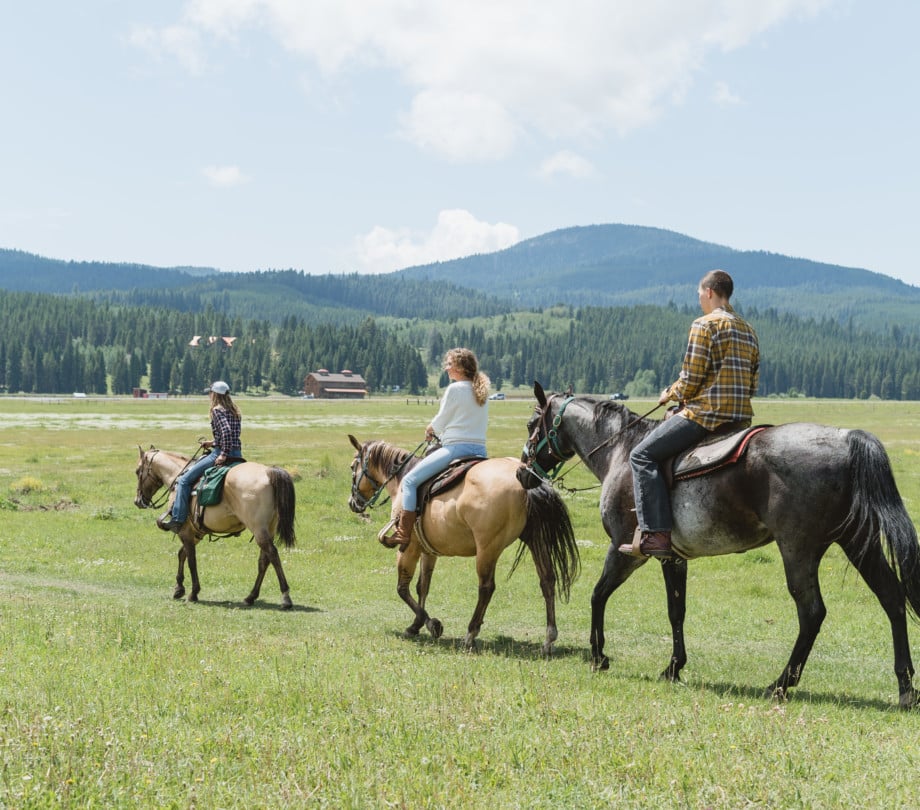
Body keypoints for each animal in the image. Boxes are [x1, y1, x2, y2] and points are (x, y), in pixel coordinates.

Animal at [135, 446, 298, 608]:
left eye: (137, 471)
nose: (138, 501)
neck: (178, 476)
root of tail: (269, 472)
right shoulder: (195, 532)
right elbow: (182, 554)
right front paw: (178, 589)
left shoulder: (185, 531)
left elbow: (191, 561)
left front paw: (193, 593)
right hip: (268, 529)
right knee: (264, 560)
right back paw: (250, 597)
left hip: (258, 529)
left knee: (273, 554)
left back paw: (285, 597)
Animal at [348, 432, 580, 652]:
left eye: (352, 467)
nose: (353, 503)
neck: (403, 481)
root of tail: (525, 481)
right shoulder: (428, 551)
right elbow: (423, 586)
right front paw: (415, 625)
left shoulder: (409, 548)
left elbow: (402, 588)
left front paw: (432, 624)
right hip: (536, 539)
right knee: (547, 580)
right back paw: (549, 639)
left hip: (487, 549)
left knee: (486, 587)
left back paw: (470, 634)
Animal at [520, 382, 920, 704]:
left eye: (530, 424)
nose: (523, 472)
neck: (621, 451)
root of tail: (844, 438)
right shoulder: (672, 557)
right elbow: (676, 610)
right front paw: (673, 667)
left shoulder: (625, 551)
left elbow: (598, 594)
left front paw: (598, 656)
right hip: (856, 540)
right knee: (891, 597)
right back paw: (905, 688)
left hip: (799, 548)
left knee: (812, 612)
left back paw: (780, 684)